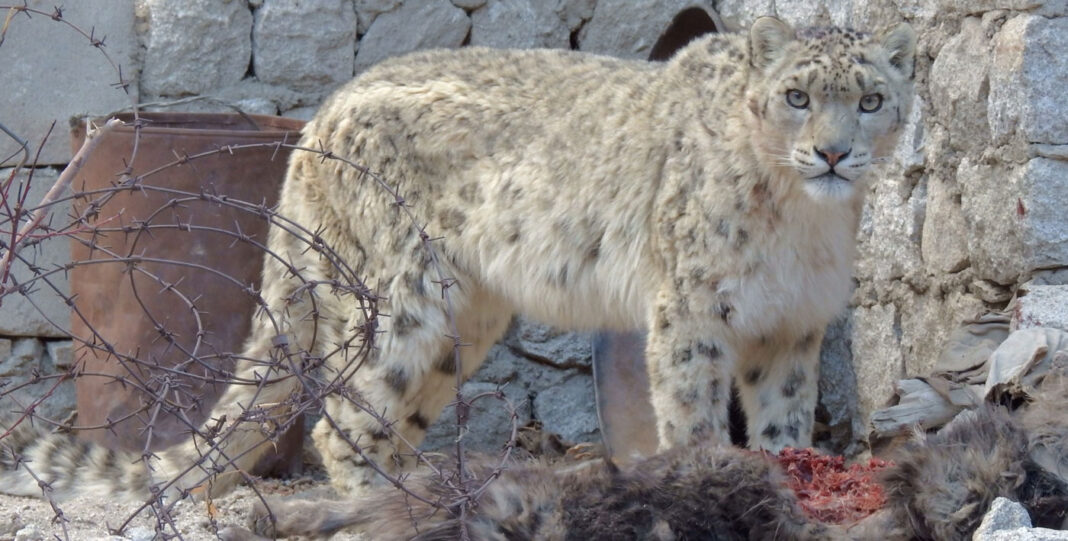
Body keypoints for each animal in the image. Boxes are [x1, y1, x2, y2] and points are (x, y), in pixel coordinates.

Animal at [0, 16, 916, 503]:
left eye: (872, 99)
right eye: (797, 95)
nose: (834, 154)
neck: (805, 225)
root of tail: (316, 120)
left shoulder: (791, 327)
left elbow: (784, 418)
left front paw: (787, 472)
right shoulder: (690, 311)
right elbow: (690, 410)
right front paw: (704, 474)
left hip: (462, 321)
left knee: (388, 418)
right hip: (402, 298)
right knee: (342, 421)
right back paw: (382, 506)